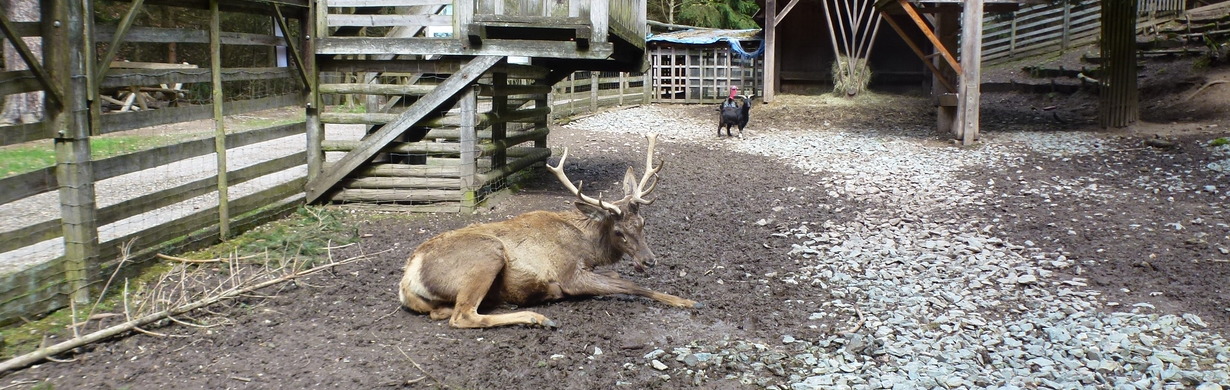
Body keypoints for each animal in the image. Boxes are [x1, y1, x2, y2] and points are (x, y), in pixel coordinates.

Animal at [396, 132, 698, 327]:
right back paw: (536, 317)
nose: (649, 260)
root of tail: (408, 279)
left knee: (444, 312)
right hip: (487, 254)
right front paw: (686, 301)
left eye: (643, 223)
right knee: (462, 315)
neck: (589, 250)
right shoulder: (570, 274)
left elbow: (619, 277)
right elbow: (630, 285)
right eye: (618, 232)